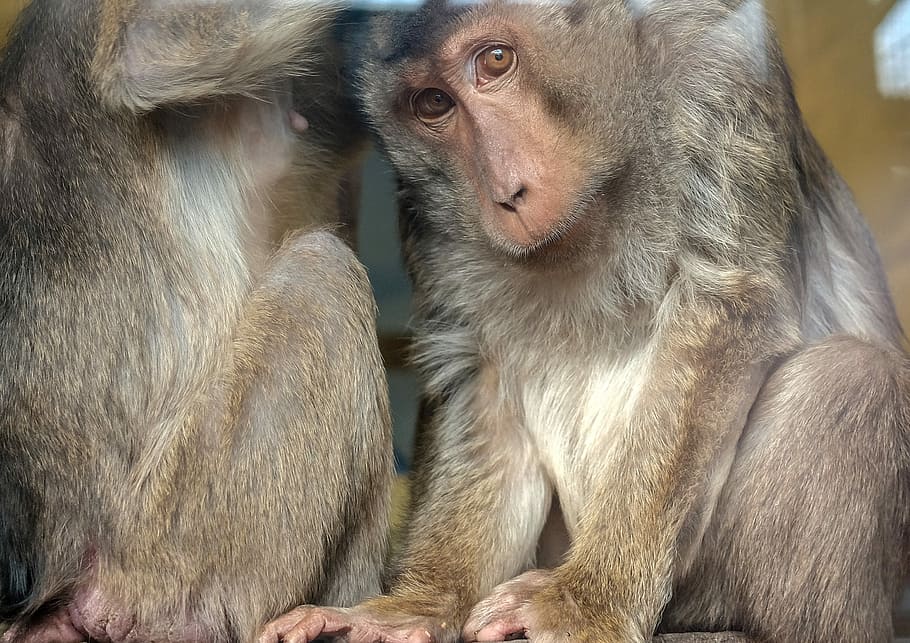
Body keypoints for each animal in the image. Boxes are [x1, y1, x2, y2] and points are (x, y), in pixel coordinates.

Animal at [258, 1, 910, 642]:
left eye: (496, 60)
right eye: (433, 103)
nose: (507, 191)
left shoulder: (721, 72)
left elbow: (723, 312)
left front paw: (588, 600)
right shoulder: (429, 202)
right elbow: (480, 369)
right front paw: (415, 606)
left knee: (850, 378)